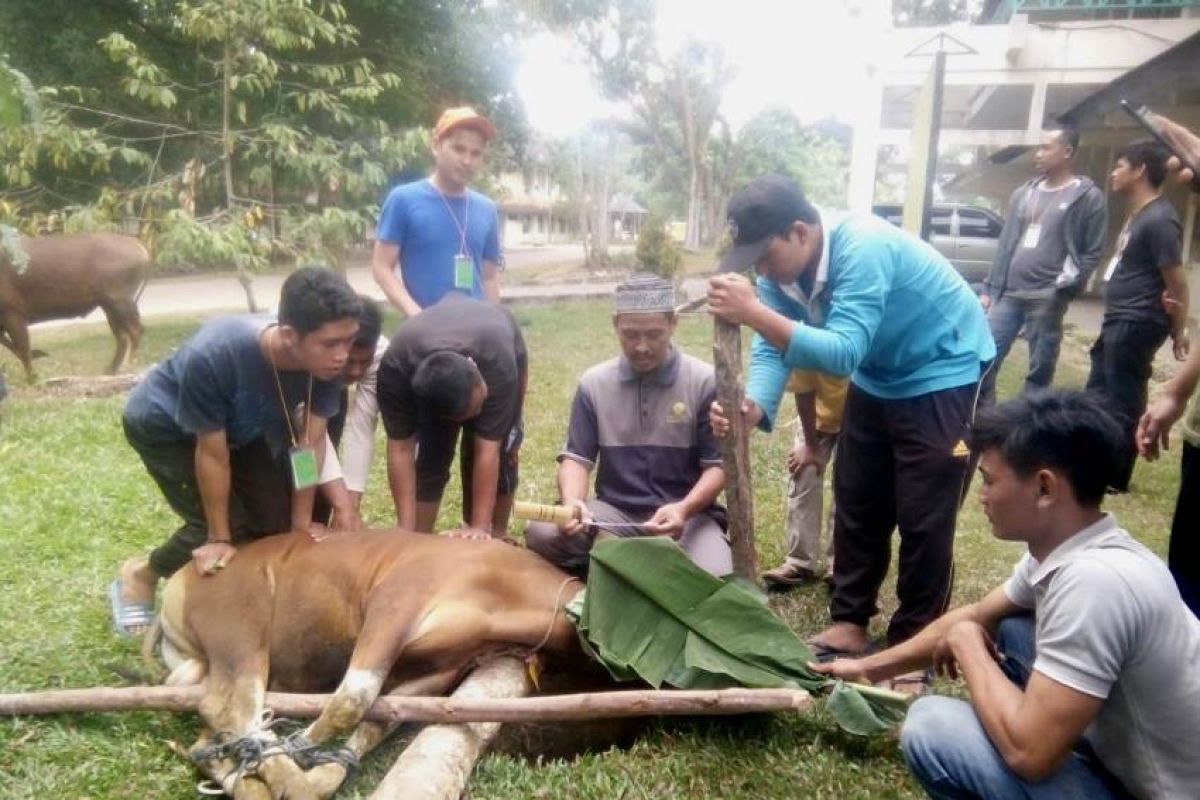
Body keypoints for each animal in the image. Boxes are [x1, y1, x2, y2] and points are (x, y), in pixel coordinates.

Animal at [0, 232, 148, 381]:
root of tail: (136, 244)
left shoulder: (13, 313)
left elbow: (23, 349)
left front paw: (33, 378)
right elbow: (14, 346)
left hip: (120, 303)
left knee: (135, 331)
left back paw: (126, 367)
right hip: (109, 307)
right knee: (122, 337)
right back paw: (111, 370)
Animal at [156, 532, 585, 800]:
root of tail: (180, 579)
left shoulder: (436, 673)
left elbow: (379, 718)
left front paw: (323, 772)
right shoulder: (393, 603)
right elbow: (352, 701)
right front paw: (302, 753)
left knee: (208, 731)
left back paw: (248, 782)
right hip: (242, 628)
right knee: (229, 707)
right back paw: (286, 781)